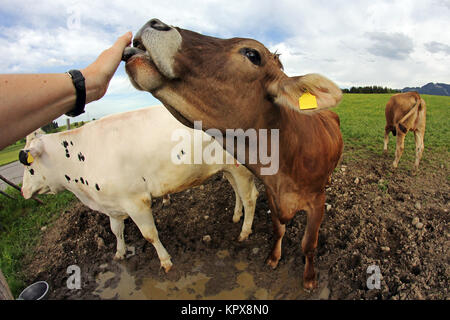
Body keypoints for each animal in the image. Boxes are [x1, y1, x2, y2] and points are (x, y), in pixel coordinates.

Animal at [20, 105, 260, 272]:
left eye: (29, 166)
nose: (23, 192)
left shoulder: (136, 202)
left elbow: (149, 234)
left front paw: (165, 261)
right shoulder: (113, 203)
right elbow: (116, 230)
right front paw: (119, 253)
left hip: (241, 168)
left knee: (250, 197)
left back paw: (244, 232)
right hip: (227, 169)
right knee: (238, 192)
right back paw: (236, 216)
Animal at [121, 19, 342, 290]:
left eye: (252, 54)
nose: (155, 23)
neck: (287, 163)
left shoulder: (317, 202)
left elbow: (309, 244)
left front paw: (309, 278)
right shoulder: (272, 195)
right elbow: (278, 230)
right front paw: (273, 258)